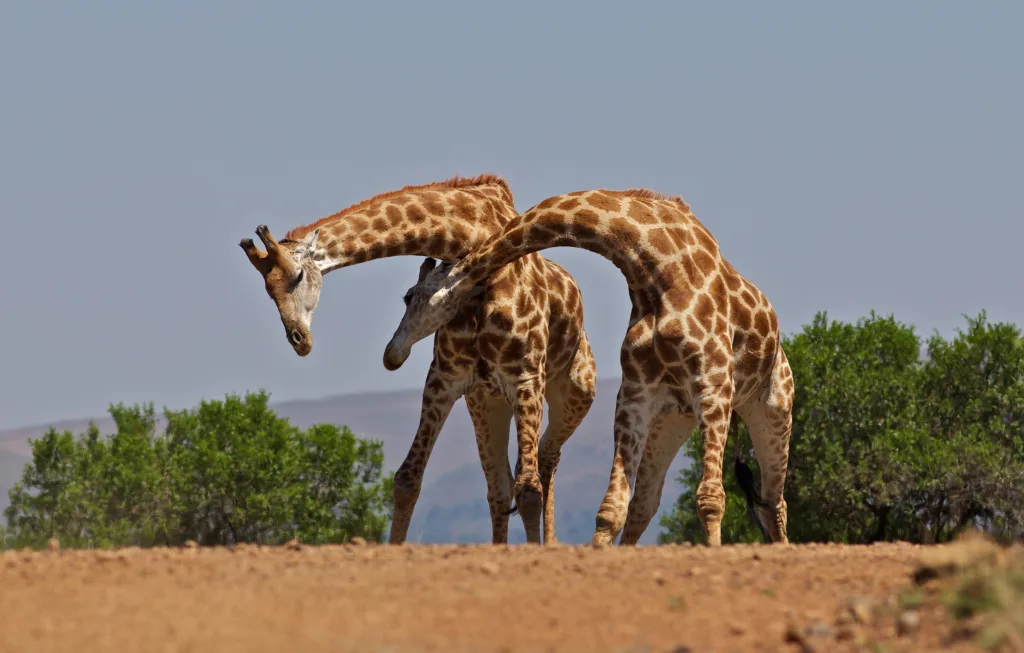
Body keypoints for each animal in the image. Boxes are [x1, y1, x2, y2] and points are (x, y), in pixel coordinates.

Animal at [237, 174, 596, 544]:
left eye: (297, 276)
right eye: (267, 290)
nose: (299, 340)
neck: (471, 240)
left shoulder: (525, 376)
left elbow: (529, 491)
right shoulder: (445, 378)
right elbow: (407, 479)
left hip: (571, 395)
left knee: (544, 463)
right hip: (488, 403)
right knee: (500, 486)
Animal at [389, 187, 795, 547]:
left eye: (409, 296)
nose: (392, 354)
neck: (655, 267)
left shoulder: (712, 386)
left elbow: (710, 499)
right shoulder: (637, 393)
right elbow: (612, 508)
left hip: (772, 410)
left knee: (775, 502)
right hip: (674, 419)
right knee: (646, 504)